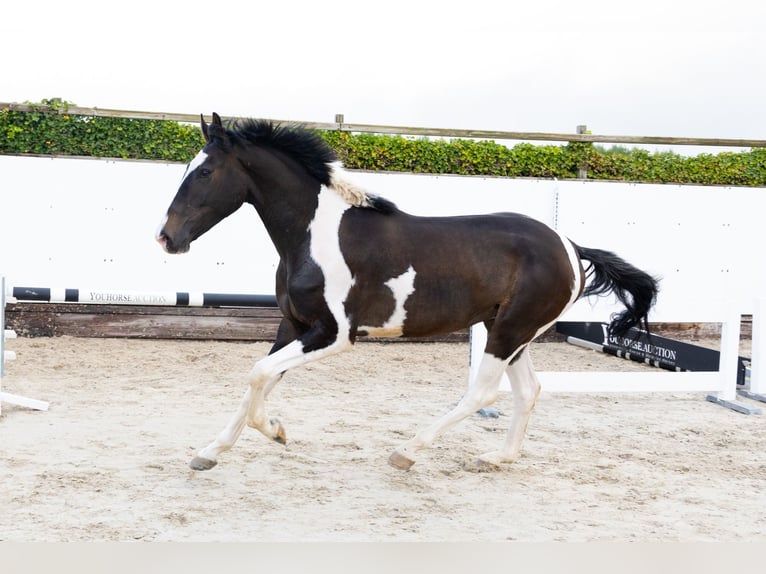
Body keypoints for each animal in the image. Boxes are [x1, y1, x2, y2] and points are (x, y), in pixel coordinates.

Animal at [157, 113, 659, 472]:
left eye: (205, 172)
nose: (167, 238)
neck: (315, 235)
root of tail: (570, 246)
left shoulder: (334, 334)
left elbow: (258, 375)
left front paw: (276, 430)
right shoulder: (293, 325)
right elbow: (257, 380)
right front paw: (210, 451)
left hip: (511, 331)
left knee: (484, 394)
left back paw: (408, 451)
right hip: (510, 329)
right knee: (528, 390)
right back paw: (497, 458)